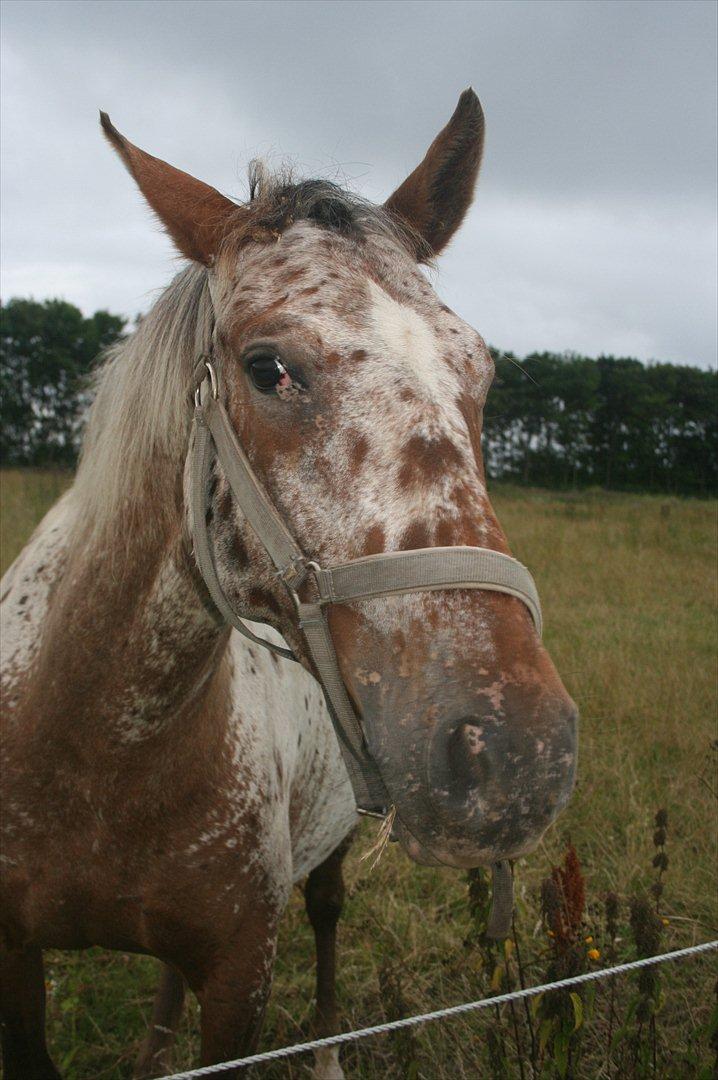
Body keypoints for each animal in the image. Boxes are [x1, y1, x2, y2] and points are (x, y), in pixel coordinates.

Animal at [0, 92, 578, 1080]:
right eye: (266, 367)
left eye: (481, 370)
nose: (516, 754)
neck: (92, 749)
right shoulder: (15, 960)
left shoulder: (242, 978)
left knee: (328, 918)